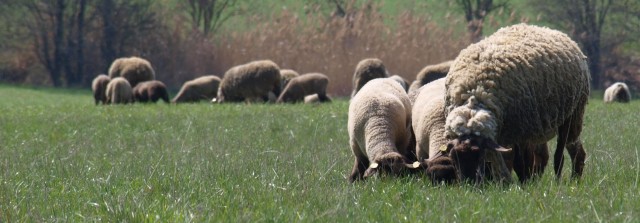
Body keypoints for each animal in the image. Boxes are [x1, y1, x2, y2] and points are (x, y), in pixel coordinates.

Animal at [442, 23, 588, 183]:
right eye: (454, 158)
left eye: (479, 155)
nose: (468, 184)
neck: (475, 97)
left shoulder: (519, 132)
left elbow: (520, 162)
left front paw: (524, 183)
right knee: (573, 150)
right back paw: (572, 179)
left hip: (571, 116)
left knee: (560, 156)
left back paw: (563, 181)